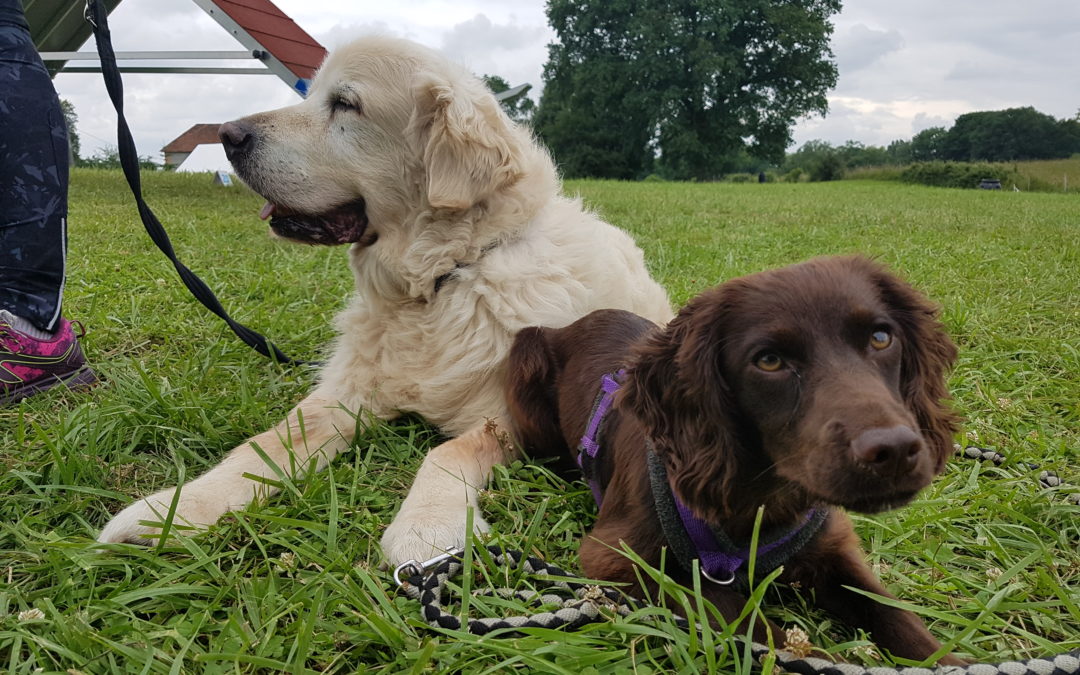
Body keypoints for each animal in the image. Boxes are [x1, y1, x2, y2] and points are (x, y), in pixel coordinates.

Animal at [101, 36, 673, 561]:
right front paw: (171, 510)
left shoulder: (508, 416)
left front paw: (427, 529)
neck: (438, 282)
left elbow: (447, 453)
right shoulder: (343, 395)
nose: (227, 134)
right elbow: (267, 444)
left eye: (345, 104)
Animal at [505, 254, 963, 660]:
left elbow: (892, 612)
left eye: (881, 338)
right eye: (769, 360)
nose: (895, 451)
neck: (763, 499)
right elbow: (747, 623)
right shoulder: (616, 558)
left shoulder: (832, 546)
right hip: (525, 358)